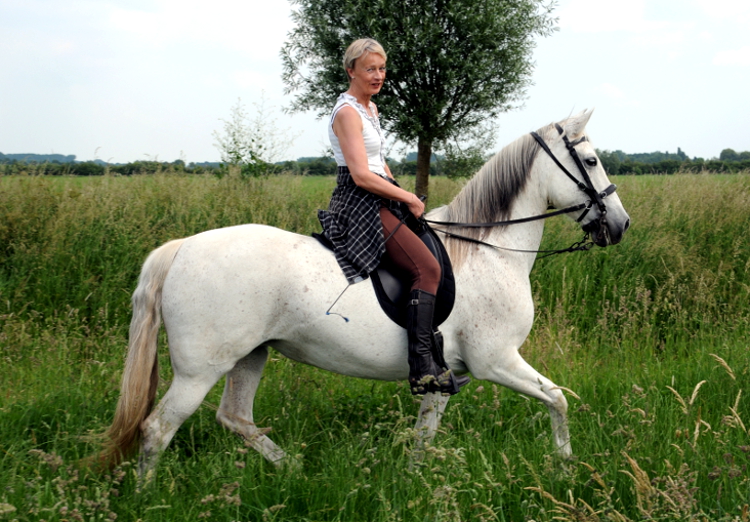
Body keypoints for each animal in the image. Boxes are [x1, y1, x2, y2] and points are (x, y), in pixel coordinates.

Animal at [96, 109, 630, 477]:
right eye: (590, 160)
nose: (620, 225)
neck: (489, 249)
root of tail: (182, 248)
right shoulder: (496, 360)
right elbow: (558, 399)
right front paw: (565, 466)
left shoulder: (448, 374)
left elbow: (425, 434)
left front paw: (413, 482)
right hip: (199, 370)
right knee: (157, 430)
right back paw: (149, 496)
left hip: (250, 355)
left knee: (236, 418)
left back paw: (295, 472)